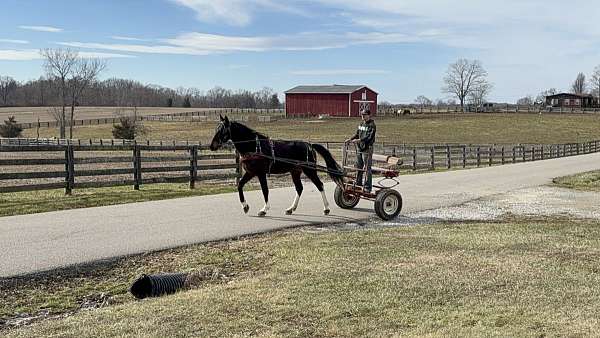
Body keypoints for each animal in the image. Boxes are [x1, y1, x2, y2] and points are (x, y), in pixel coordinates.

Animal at [210, 116, 342, 217]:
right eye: (216, 128)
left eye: (222, 130)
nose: (212, 146)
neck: (254, 146)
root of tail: (309, 145)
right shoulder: (251, 172)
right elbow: (240, 185)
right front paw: (245, 206)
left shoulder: (261, 173)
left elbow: (265, 190)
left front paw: (264, 210)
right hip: (295, 172)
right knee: (299, 188)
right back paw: (291, 209)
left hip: (309, 170)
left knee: (320, 185)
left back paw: (326, 208)